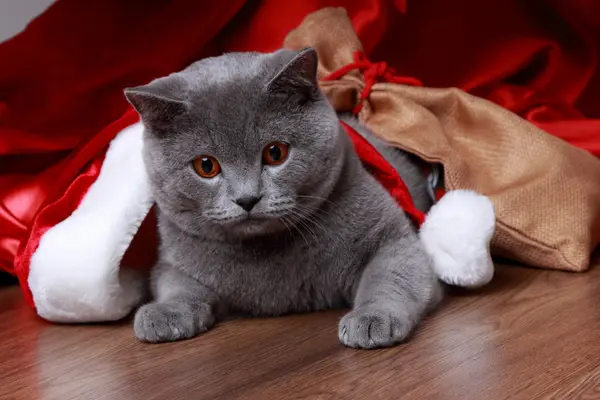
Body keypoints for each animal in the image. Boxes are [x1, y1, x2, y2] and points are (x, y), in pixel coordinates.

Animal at [125, 47, 440, 348]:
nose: (247, 199)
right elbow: (177, 285)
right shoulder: (172, 262)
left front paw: (372, 318)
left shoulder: (393, 238)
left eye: (275, 152)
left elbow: (390, 277)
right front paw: (164, 313)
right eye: (206, 166)